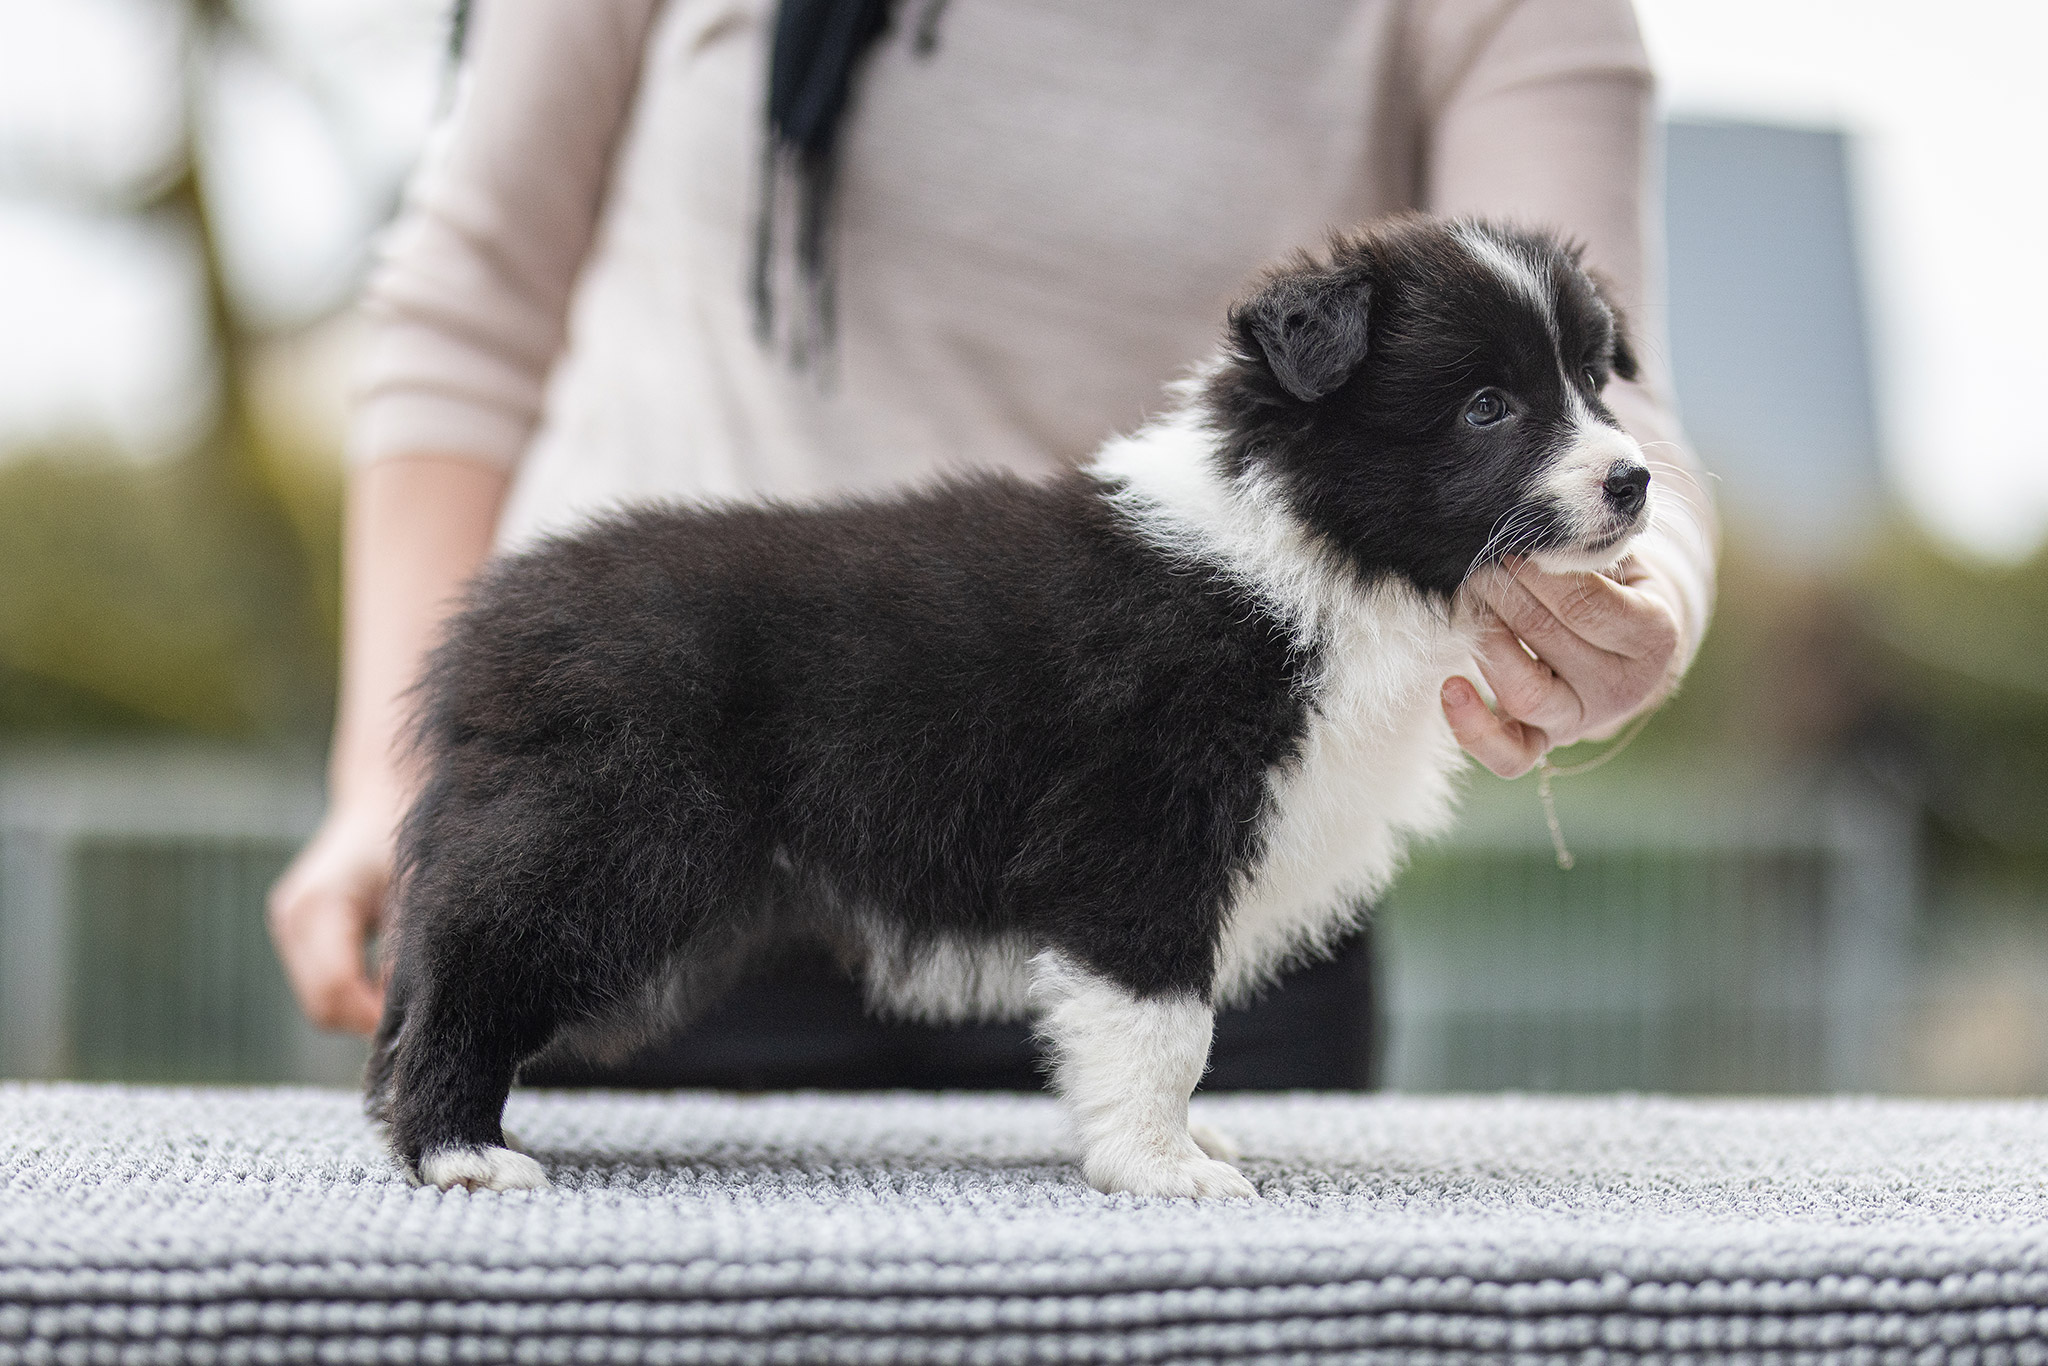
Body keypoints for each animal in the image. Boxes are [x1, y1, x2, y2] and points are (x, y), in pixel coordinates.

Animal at [364, 214, 1646, 1196]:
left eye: (1591, 380)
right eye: (1485, 405)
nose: (1634, 481)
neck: (1315, 544)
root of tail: (486, 628)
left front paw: (1177, 1143)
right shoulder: (1142, 829)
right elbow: (1163, 1018)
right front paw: (1159, 1167)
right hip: (610, 839)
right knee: (473, 971)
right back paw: (458, 1149)